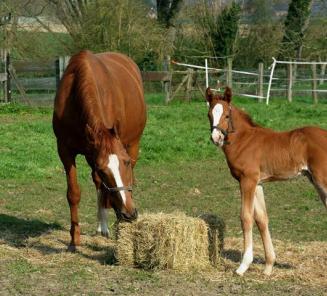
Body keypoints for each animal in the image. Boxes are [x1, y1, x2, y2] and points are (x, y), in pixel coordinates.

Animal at [52, 50, 147, 250]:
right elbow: (74, 193)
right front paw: (74, 240)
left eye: (126, 162)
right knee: (98, 184)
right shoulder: (65, 150)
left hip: (133, 143)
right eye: (104, 170)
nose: (130, 213)